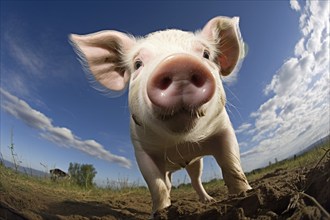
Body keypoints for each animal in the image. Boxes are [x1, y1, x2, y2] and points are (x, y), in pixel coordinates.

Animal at [69, 16, 250, 216]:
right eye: (138, 64)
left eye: (206, 54)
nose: (179, 64)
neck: (179, 143)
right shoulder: (141, 149)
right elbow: (156, 185)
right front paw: (160, 213)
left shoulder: (224, 129)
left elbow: (231, 165)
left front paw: (244, 195)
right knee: (169, 184)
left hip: (195, 162)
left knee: (195, 179)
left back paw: (208, 200)